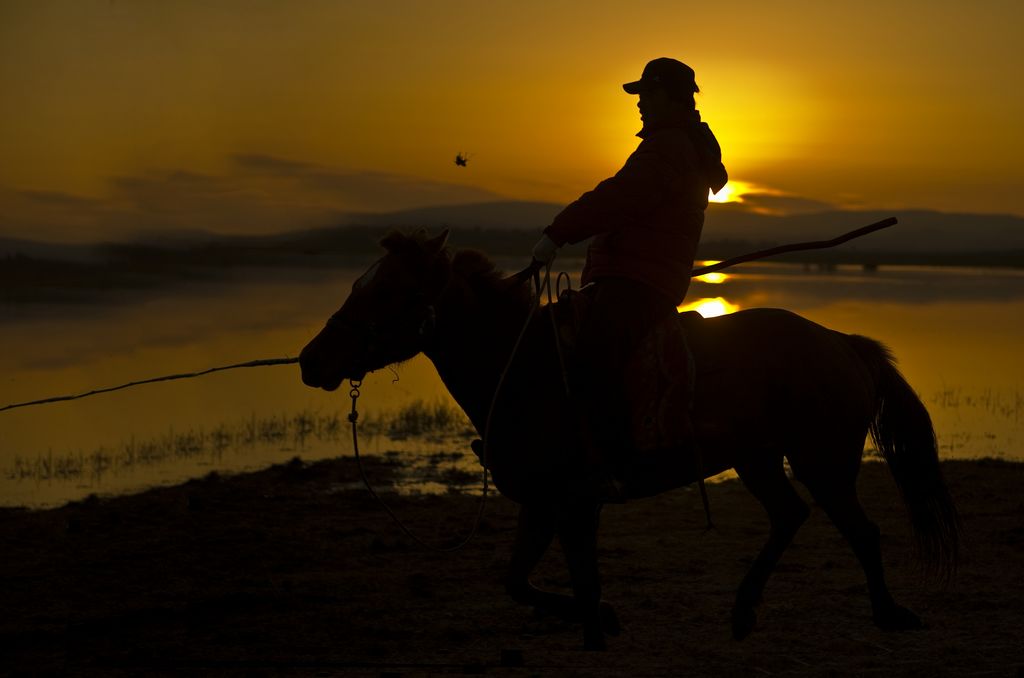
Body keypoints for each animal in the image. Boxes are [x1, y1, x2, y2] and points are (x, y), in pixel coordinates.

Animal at [296, 232, 958, 655]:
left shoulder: (575, 503)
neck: (523, 367)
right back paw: (744, 610)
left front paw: (599, 628)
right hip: (759, 460)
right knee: (790, 515)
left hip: (824, 462)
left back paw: (888, 614)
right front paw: (605, 623)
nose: (310, 360)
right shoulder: (545, 504)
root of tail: (844, 344)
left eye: (386, 292)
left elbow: (580, 583)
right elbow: (520, 582)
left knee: (861, 531)